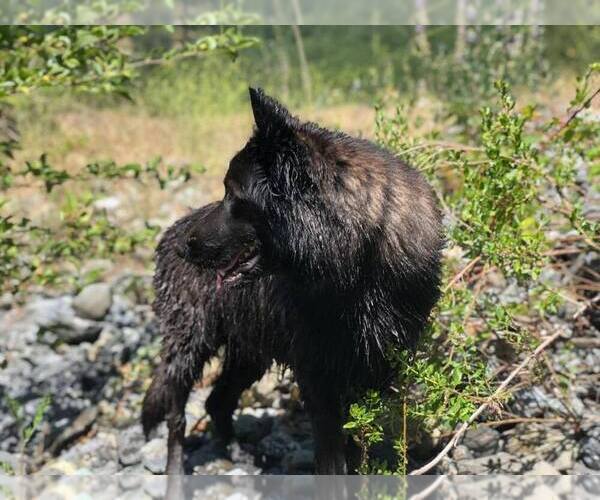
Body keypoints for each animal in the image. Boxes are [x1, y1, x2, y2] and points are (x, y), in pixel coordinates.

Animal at [139, 88, 440, 474]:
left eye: (234, 196)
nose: (183, 248)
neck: (358, 271)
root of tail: (168, 232)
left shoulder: (376, 369)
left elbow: (357, 441)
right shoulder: (318, 379)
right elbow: (331, 460)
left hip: (249, 354)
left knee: (217, 401)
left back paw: (232, 452)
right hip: (189, 345)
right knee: (177, 415)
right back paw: (177, 473)